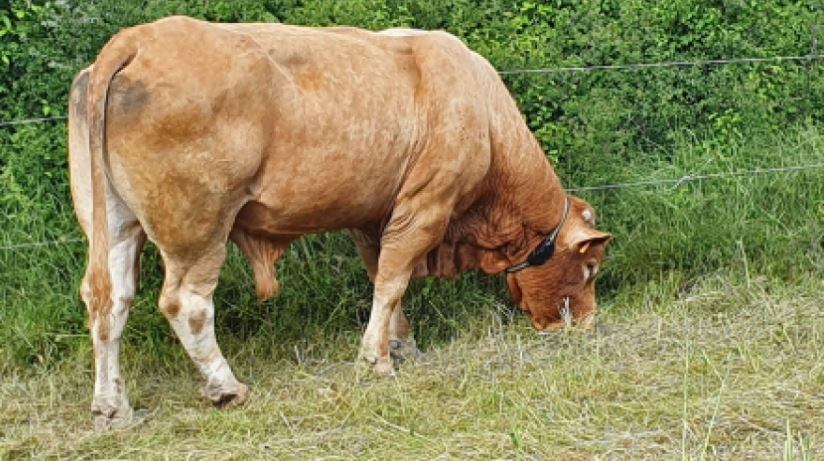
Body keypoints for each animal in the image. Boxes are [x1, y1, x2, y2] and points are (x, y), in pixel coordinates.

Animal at [71, 17, 608, 428]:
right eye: (590, 267)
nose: (586, 323)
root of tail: (139, 38)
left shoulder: (375, 217)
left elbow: (384, 279)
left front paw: (401, 345)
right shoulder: (426, 205)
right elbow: (392, 281)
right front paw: (377, 361)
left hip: (114, 223)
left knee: (110, 299)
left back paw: (112, 407)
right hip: (199, 226)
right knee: (187, 303)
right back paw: (226, 386)